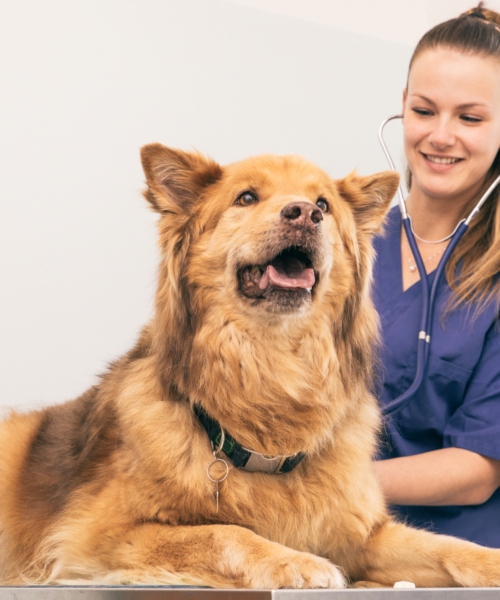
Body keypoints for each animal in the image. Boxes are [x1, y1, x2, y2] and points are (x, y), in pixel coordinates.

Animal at [0, 144, 500, 584]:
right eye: (246, 198)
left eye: (324, 204)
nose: (305, 213)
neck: (272, 368)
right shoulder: (96, 536)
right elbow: (224, 531)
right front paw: (292, 560)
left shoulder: (363, 536)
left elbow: (448, 546)